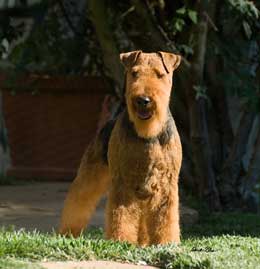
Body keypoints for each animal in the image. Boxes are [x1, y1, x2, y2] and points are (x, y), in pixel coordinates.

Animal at [59, 50, 182, 245]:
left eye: (160, 74)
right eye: (134, 73)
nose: (143, 100)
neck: (149, 134)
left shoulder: (166, 185)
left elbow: (165, 218)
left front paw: (166, 243)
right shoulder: (124, 183)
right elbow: (121, 216)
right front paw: (120, 241)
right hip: (90, 176)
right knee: (77, 202)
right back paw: (67, 233)